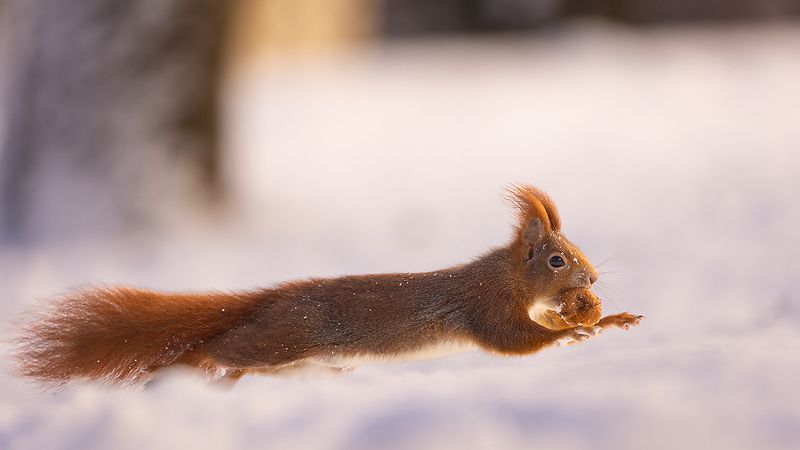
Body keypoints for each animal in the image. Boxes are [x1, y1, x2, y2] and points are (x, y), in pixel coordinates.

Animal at [13, 184, 643, 387]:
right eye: (558, 260)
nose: (592, 279)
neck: (509, 277)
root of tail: (274, 299)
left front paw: (605, 319)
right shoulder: (485, 309)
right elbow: (516, 342)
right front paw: (575, 334)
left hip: (293, 359)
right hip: (281, 339)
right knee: (216, 346)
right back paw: (180, 368)